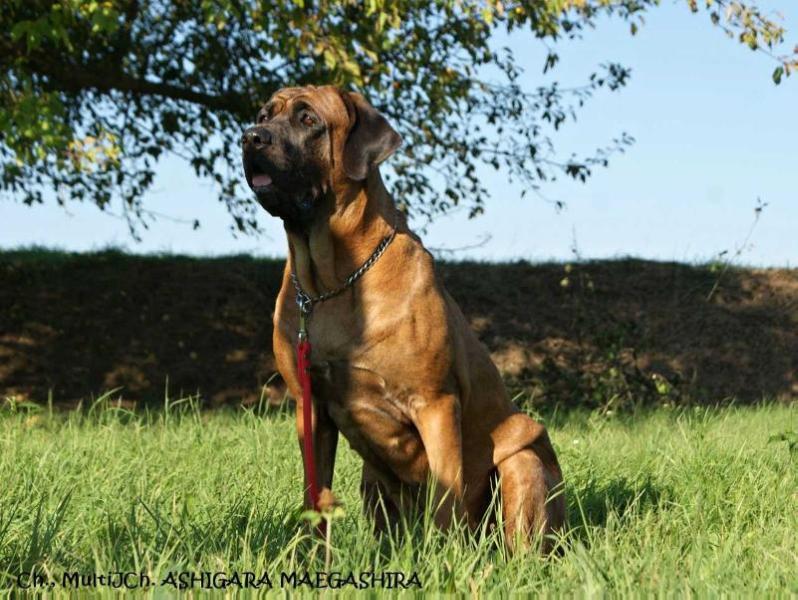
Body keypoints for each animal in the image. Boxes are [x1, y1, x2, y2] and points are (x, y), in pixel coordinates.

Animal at [241, 84, 564, 552]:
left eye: (308, 120)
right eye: (265, 115)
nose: (250, 138)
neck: (332, 281)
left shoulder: (436, 402)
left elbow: (446, 497)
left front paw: (444, 559)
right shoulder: (310, 406)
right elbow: (315, 497)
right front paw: (311, 559)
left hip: (522, 457)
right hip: (372, 481)